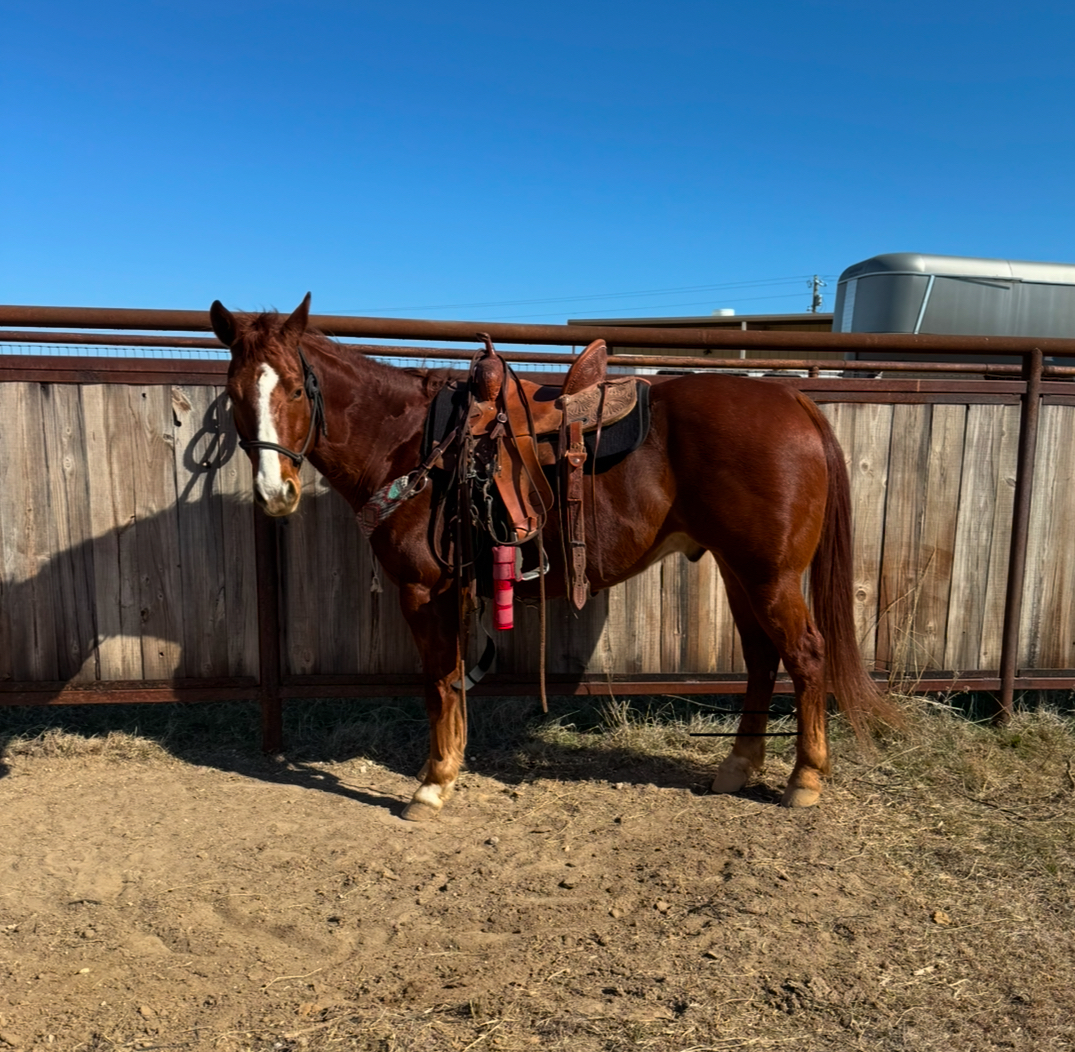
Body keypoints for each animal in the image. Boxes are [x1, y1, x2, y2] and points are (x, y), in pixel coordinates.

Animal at [210, 294, 895, 821]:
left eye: (295, 388)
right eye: (235, 393)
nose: (275, 493)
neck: (412, 443)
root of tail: (793, 401)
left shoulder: (424, 592)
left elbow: (437, 682)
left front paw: (432, 785)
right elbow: (454, 680)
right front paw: (451, 767)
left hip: (769, 575)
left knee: (805, 655)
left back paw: (804, 779)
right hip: (740, 570)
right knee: (760, 659)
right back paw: (738, 765)